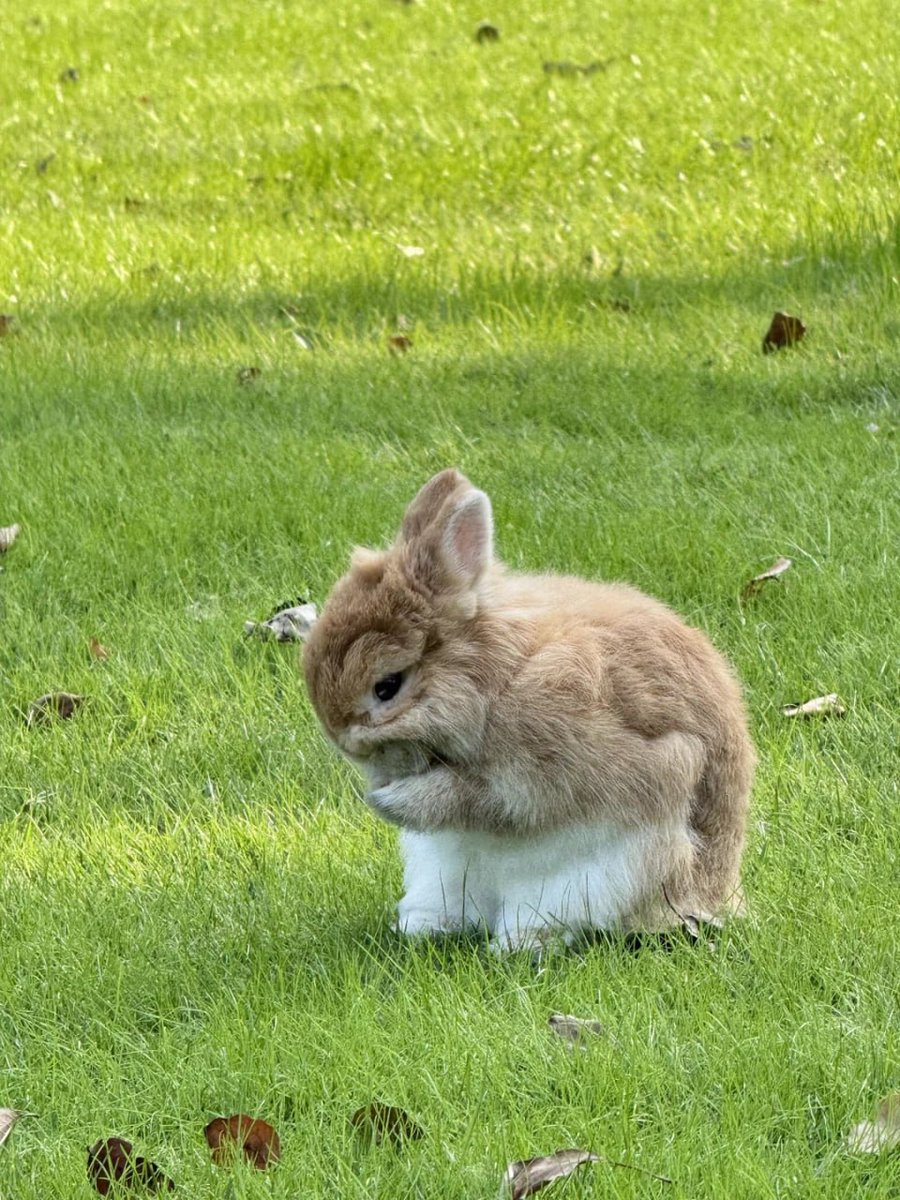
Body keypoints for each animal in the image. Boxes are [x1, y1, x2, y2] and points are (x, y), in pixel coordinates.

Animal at [303, 469, 754, 951]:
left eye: (387, 687)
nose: (342, 740)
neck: (495, 676)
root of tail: (716, 895)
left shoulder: (545, 772)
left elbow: (482, 800)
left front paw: (389, 801)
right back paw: (423, 927)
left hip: (599, 875)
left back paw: (519, 943)